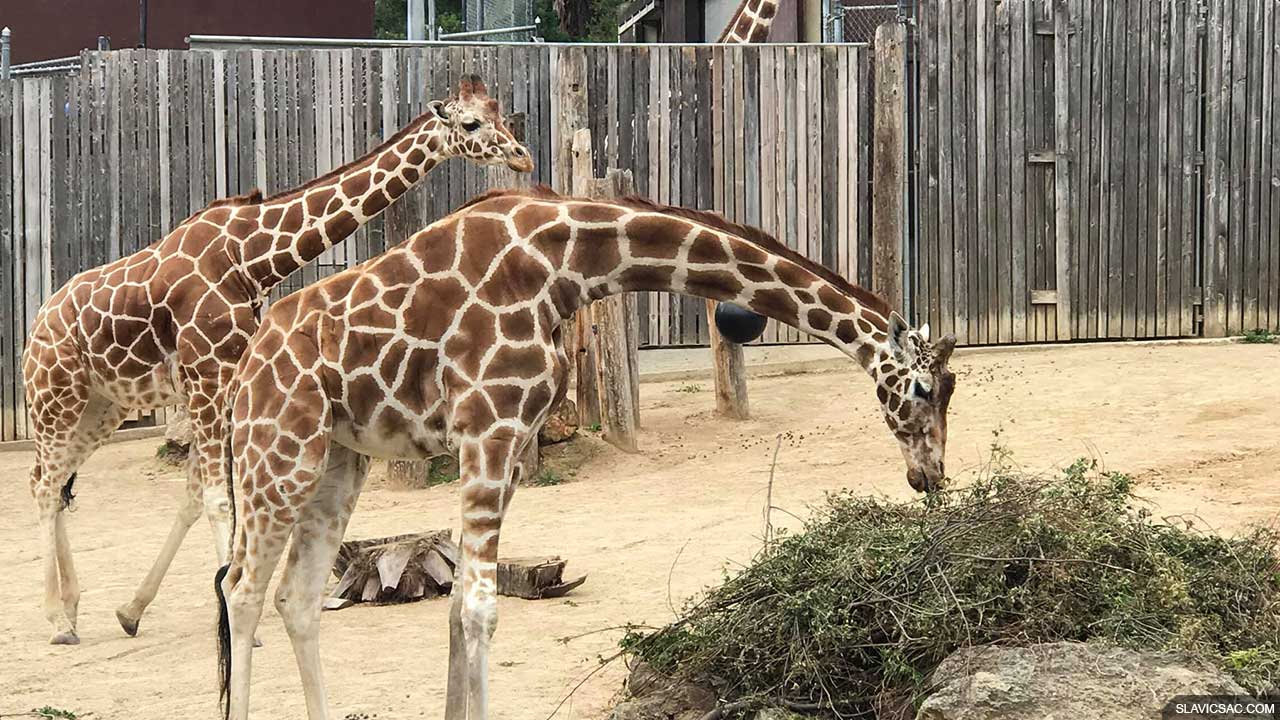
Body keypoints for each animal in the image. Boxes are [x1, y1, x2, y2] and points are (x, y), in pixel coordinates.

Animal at [22, 75, 531, 646]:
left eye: (501, 113)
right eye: (471, 123)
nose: (522, 157)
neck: (251, 257)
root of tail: (35, 327)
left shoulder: (224, 379)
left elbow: (197, 496)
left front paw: (133, 610)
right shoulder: (207, 376)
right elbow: (220, 500)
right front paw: (236, 618)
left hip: (101, 407)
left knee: (51, 481)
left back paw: (73, 605)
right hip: (55, 397)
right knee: (44, 483)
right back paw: (58, 620)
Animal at [214, 185, 957, 720]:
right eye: (923, 388)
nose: (931, 477)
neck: (569, 263)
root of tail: (245, 368)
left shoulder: (511, 441)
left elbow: (459, 607)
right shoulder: (488, 427)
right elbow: (479, 607)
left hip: (337, 460)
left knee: (296, 598)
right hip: (278, 451)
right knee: (241, 590)